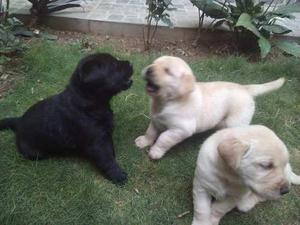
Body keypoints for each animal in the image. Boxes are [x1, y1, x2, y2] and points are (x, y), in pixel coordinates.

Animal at [0, 53, 132, 185]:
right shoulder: (97, 143)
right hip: (35, 153)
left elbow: (111, 150)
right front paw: (118, 175)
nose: (130, 63)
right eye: (113, 65)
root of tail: (19, 121)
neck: (85, 101)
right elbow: (107, 160)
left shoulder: (105, 134)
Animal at [136, 56, 286, 160]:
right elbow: (151, 132)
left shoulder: (181, 129)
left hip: (236, 121)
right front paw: (143, 142)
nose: (149, 69)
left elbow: (163, 138)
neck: (166, 101)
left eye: (167, 71)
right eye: (154, 63)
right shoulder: (156, 120)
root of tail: (245, 88)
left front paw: (155, 152)